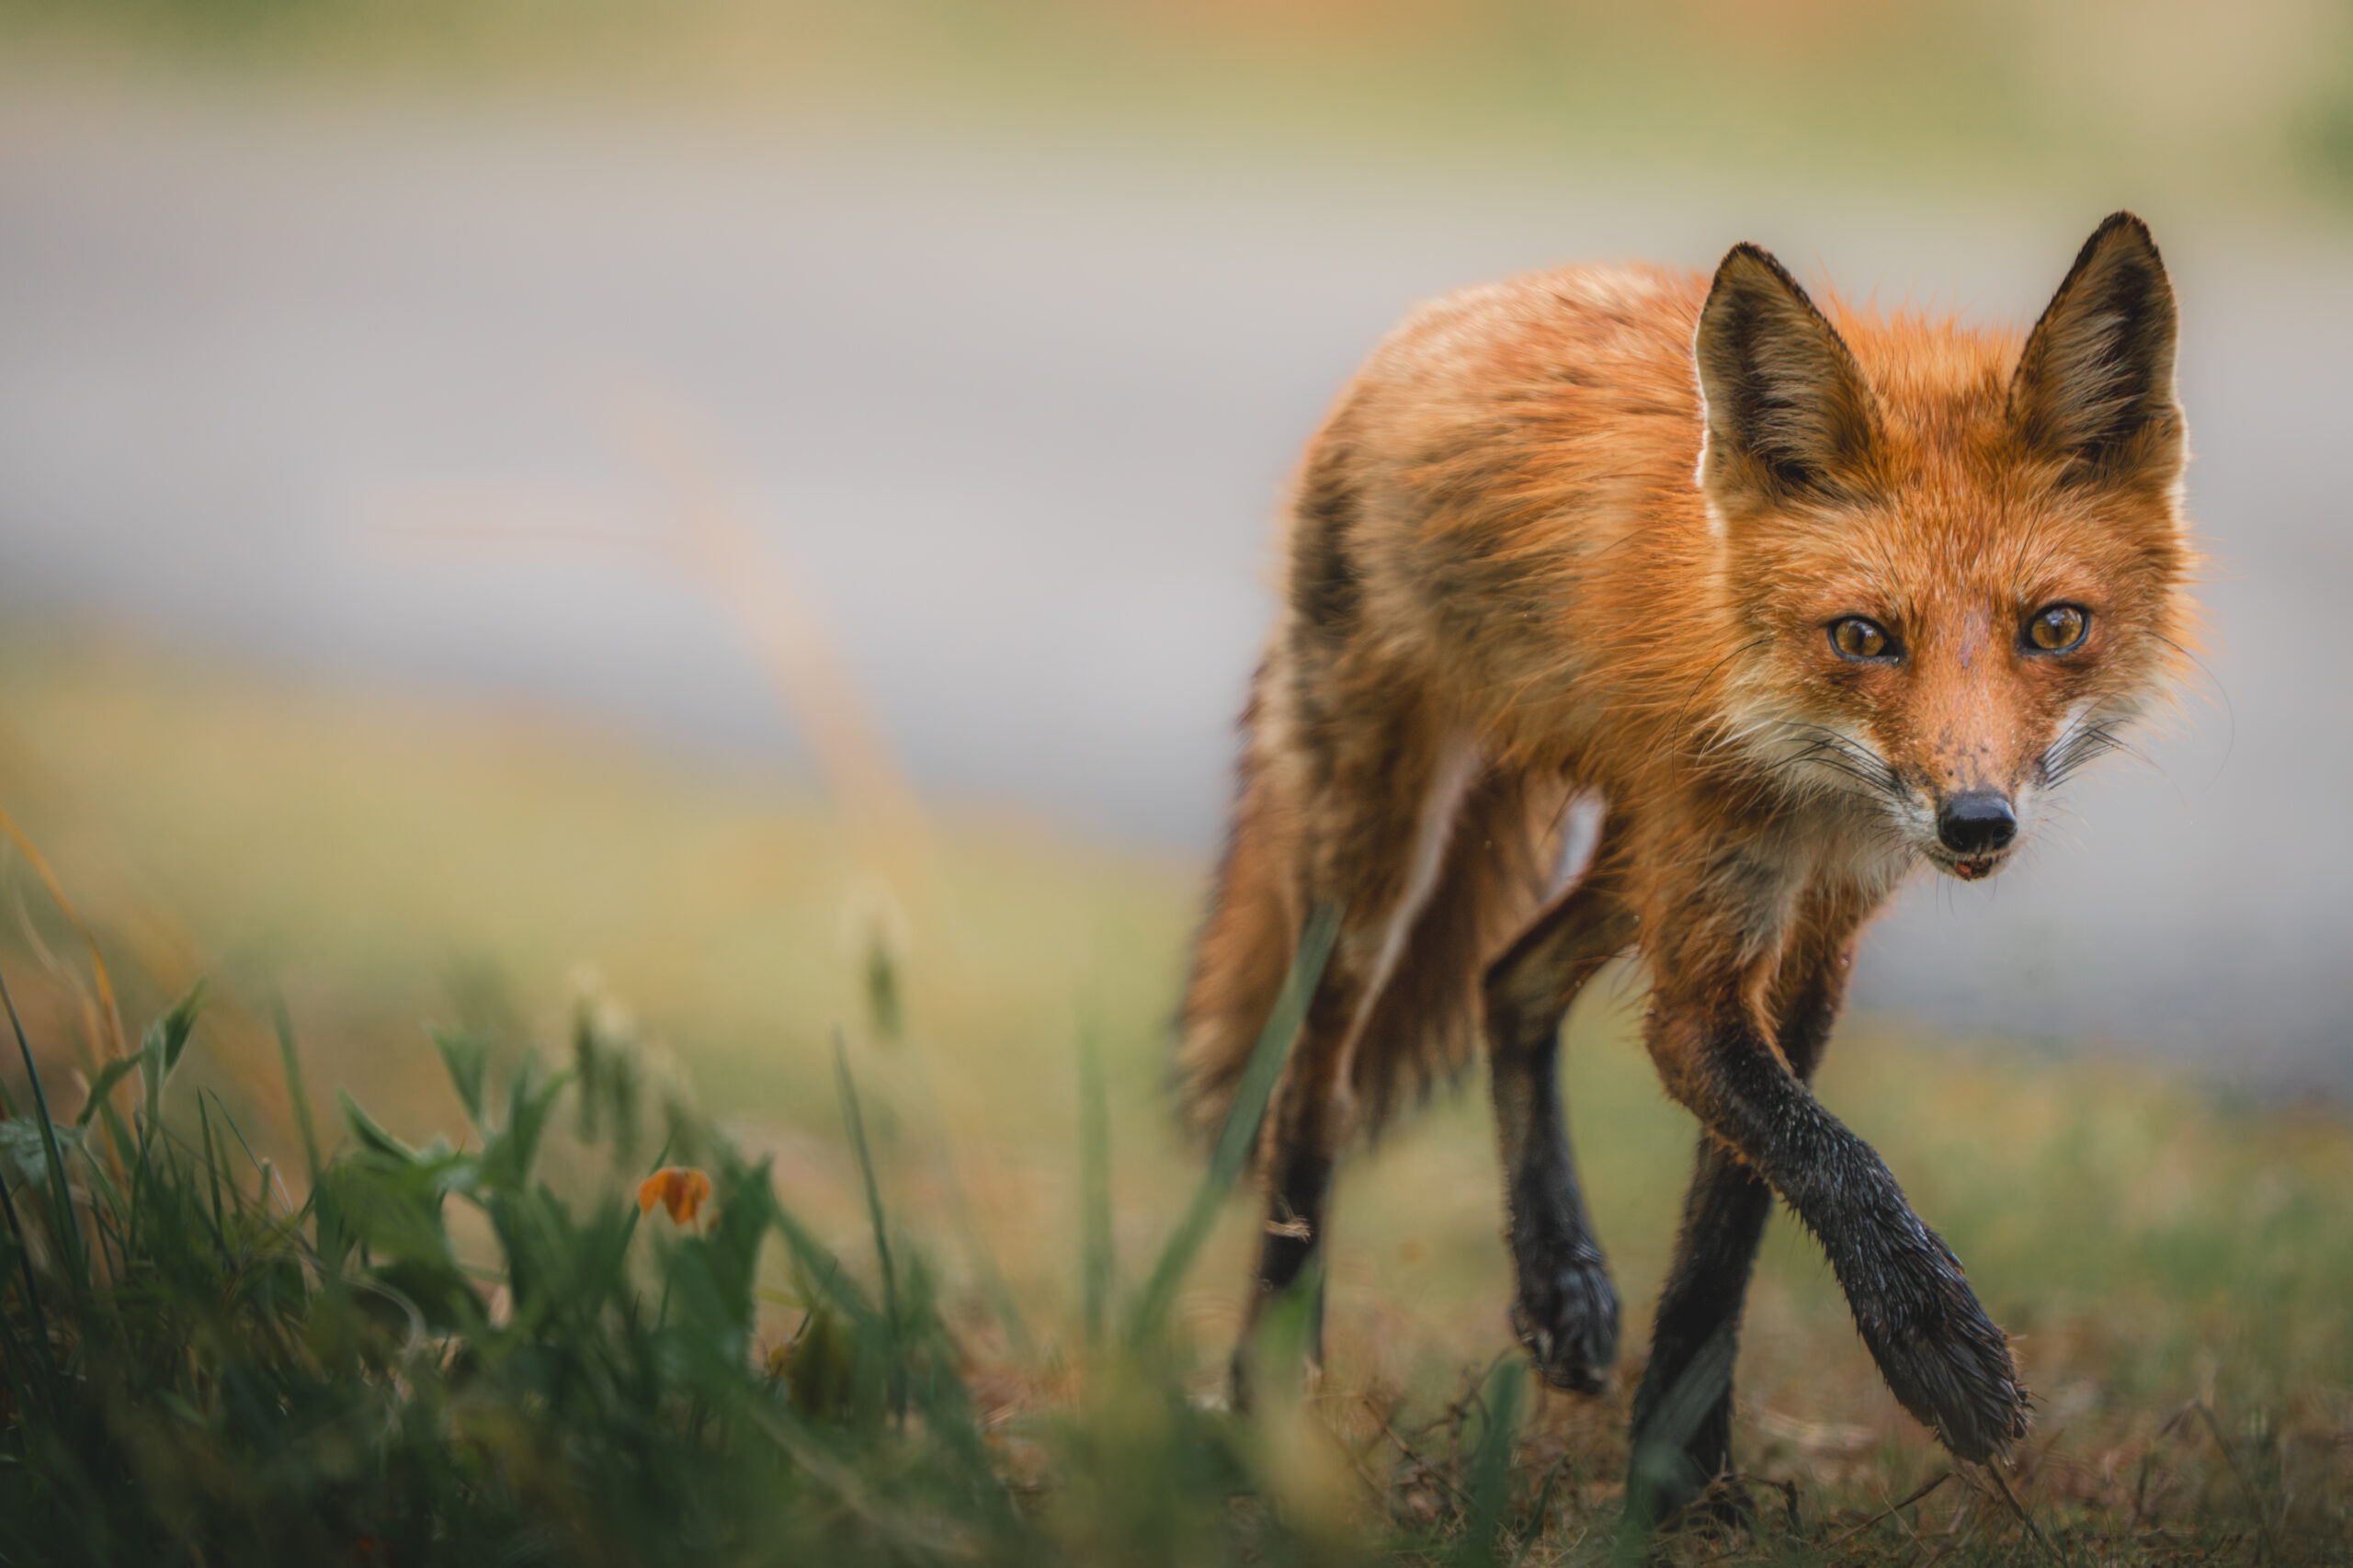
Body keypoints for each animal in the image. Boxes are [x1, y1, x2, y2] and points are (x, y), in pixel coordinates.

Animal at [1176, 212, 2192, 1509]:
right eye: (1864, 636)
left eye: (2054, 627)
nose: (1975, 822)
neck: (1806, 780)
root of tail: (1450, 310)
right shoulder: (1709, 963)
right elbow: (1829, 1155)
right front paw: (1935, 1347)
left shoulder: (1816, 929)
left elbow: (1737, 1212)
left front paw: (1682, 1474)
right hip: (1385, 855)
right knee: (1310, 1087)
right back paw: (1269, 1388)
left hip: (1632, 858)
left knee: (1505, 979)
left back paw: (1556, 1275)